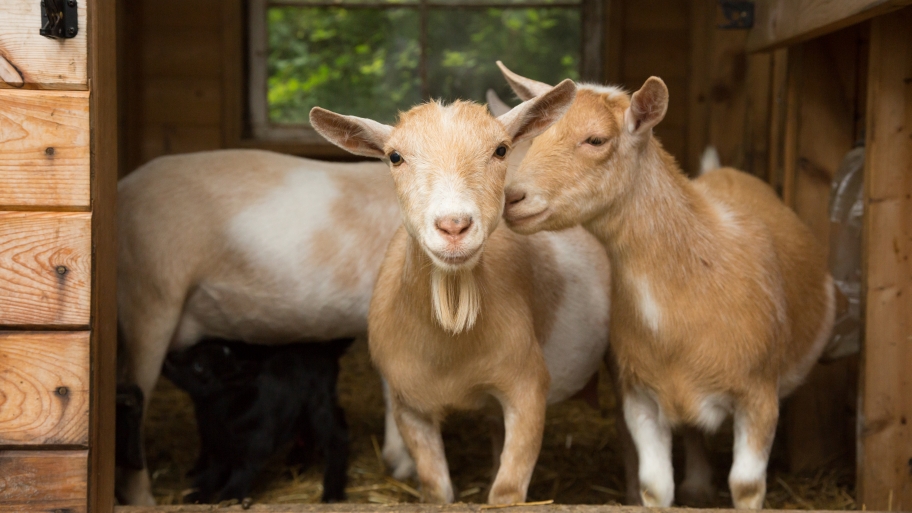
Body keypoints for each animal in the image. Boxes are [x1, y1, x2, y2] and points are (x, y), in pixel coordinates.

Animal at [161, 338, 353, 503]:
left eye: (199, 366)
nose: (170, 357)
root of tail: (326, 351)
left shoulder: (256, 444)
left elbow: (241, 473)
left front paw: (228, 500)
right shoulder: (217, 445)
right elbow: (210, 473)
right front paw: (194, 496)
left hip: (320, 403)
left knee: (337, 437)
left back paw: (332, 493)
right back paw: (295, 465)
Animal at [309, 81, 619, 505]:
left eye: (500, 149)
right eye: (394, 156)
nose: (454, 226)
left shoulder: (527, 388)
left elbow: (507, 490)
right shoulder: (409, 405)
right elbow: (436, 489)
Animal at [496, 63, 836, 509]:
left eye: (596, 139)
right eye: (533, 137)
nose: (512, 198)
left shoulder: (759, 396)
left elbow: (746, 486)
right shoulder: (640, 395)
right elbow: (655, 486)